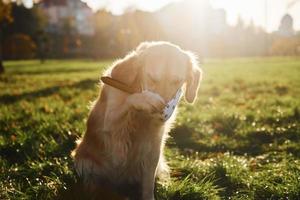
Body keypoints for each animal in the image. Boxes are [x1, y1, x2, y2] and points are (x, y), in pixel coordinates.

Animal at [72, 41, 203, 199]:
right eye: (151, 78)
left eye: (177, 81)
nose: (162, 113)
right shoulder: (109, 124)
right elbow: (130, 100)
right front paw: (145, 99)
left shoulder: (154, 145)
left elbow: (148, 184)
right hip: (85, 163)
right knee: (93, 182)